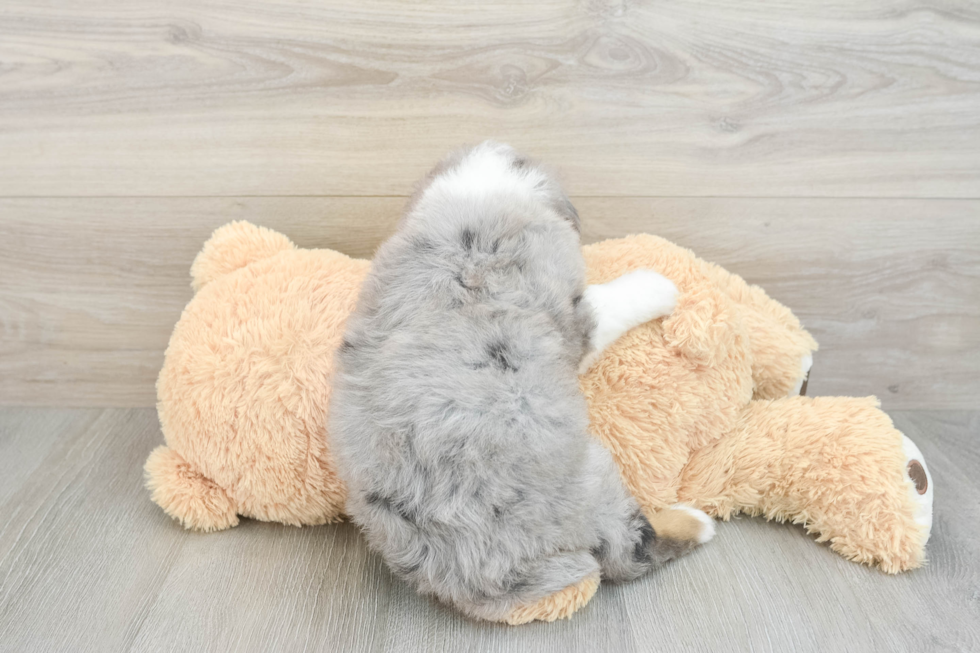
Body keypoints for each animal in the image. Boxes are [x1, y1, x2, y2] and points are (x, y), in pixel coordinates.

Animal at [330, 140, 712, 620]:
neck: (479, 196)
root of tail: (467, 572)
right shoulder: (575, 316)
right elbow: (614, 301)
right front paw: (659, 284)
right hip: (597, 481)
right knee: (633, 549)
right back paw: (696, 522)